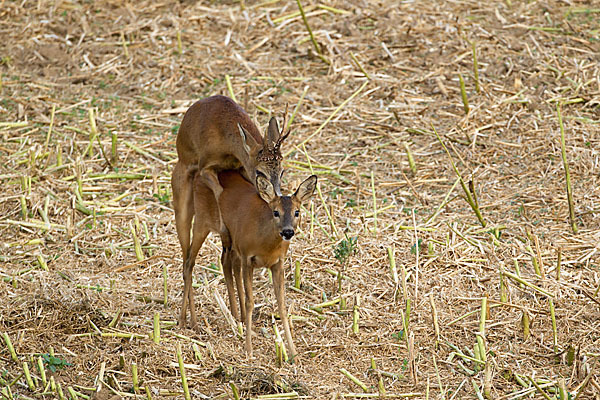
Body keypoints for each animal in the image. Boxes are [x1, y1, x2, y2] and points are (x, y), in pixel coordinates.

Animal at [171, 96, 290, 328]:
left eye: (282, 171)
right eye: (260, 171)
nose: (277, 196)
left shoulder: (240, 168)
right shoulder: (205, 167)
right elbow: (219, 192)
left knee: (221, 259)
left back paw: (233, 315)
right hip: (183, 205)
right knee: (187, 259)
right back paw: (187, 320)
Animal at [186, 170, 318, 358]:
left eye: (297, 212)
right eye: (275, 212)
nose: (287, 232)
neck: (265, 246)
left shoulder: (278, 263)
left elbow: (282, 304)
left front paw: (292, 353)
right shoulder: (248, 258)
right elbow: (250, 302)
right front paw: (248, 349)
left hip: (230, 240)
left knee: (226, 262)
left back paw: (236, 318)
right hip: (202, 221)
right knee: (189, 261)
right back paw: (191, 322)